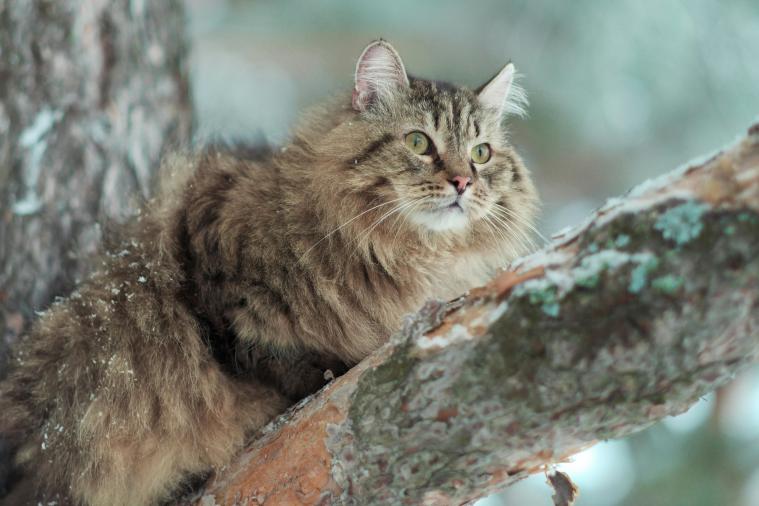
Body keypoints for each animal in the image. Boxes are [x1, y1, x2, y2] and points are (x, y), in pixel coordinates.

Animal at [0, 40, 540, 506]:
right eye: (419, 142)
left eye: (482, 153)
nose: (463, 182)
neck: (401, 255)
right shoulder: (214, 255)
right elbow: (265, 353)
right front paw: (316, 373)